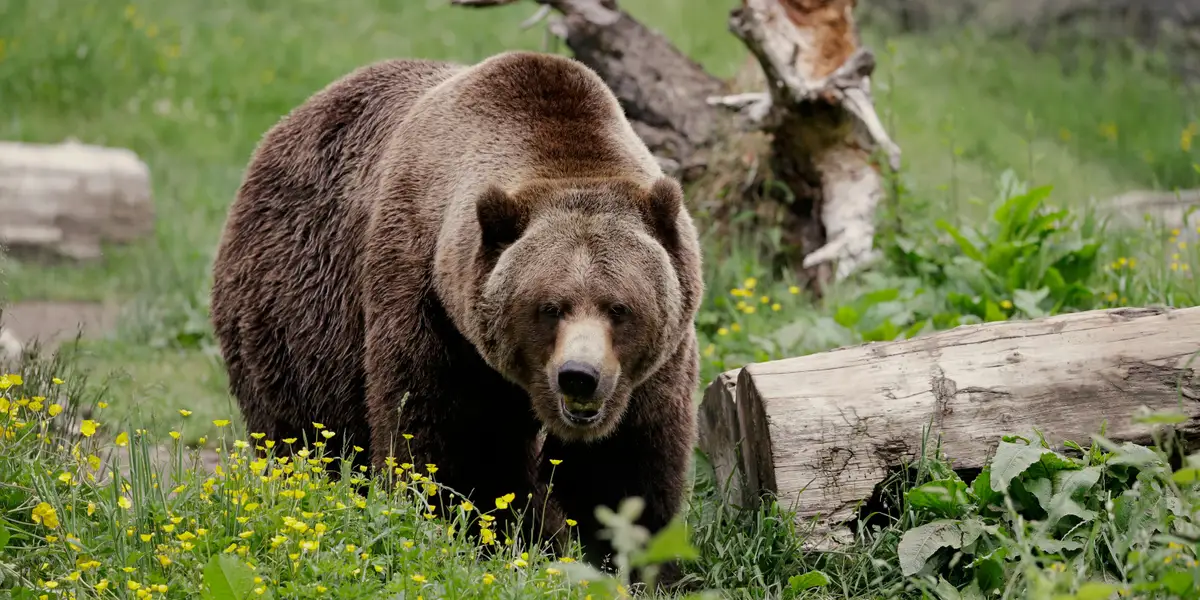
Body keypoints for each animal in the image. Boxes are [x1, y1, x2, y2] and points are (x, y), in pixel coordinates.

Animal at [209, 50, 705, 583]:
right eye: (549, 307)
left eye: (619, 307)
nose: (579, 376)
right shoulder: (430, 308)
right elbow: (450, 446)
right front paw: (484, 540)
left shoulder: (653, 368)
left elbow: (625, 467)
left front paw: (637, 564)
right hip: (295, 311)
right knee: (300, 432)